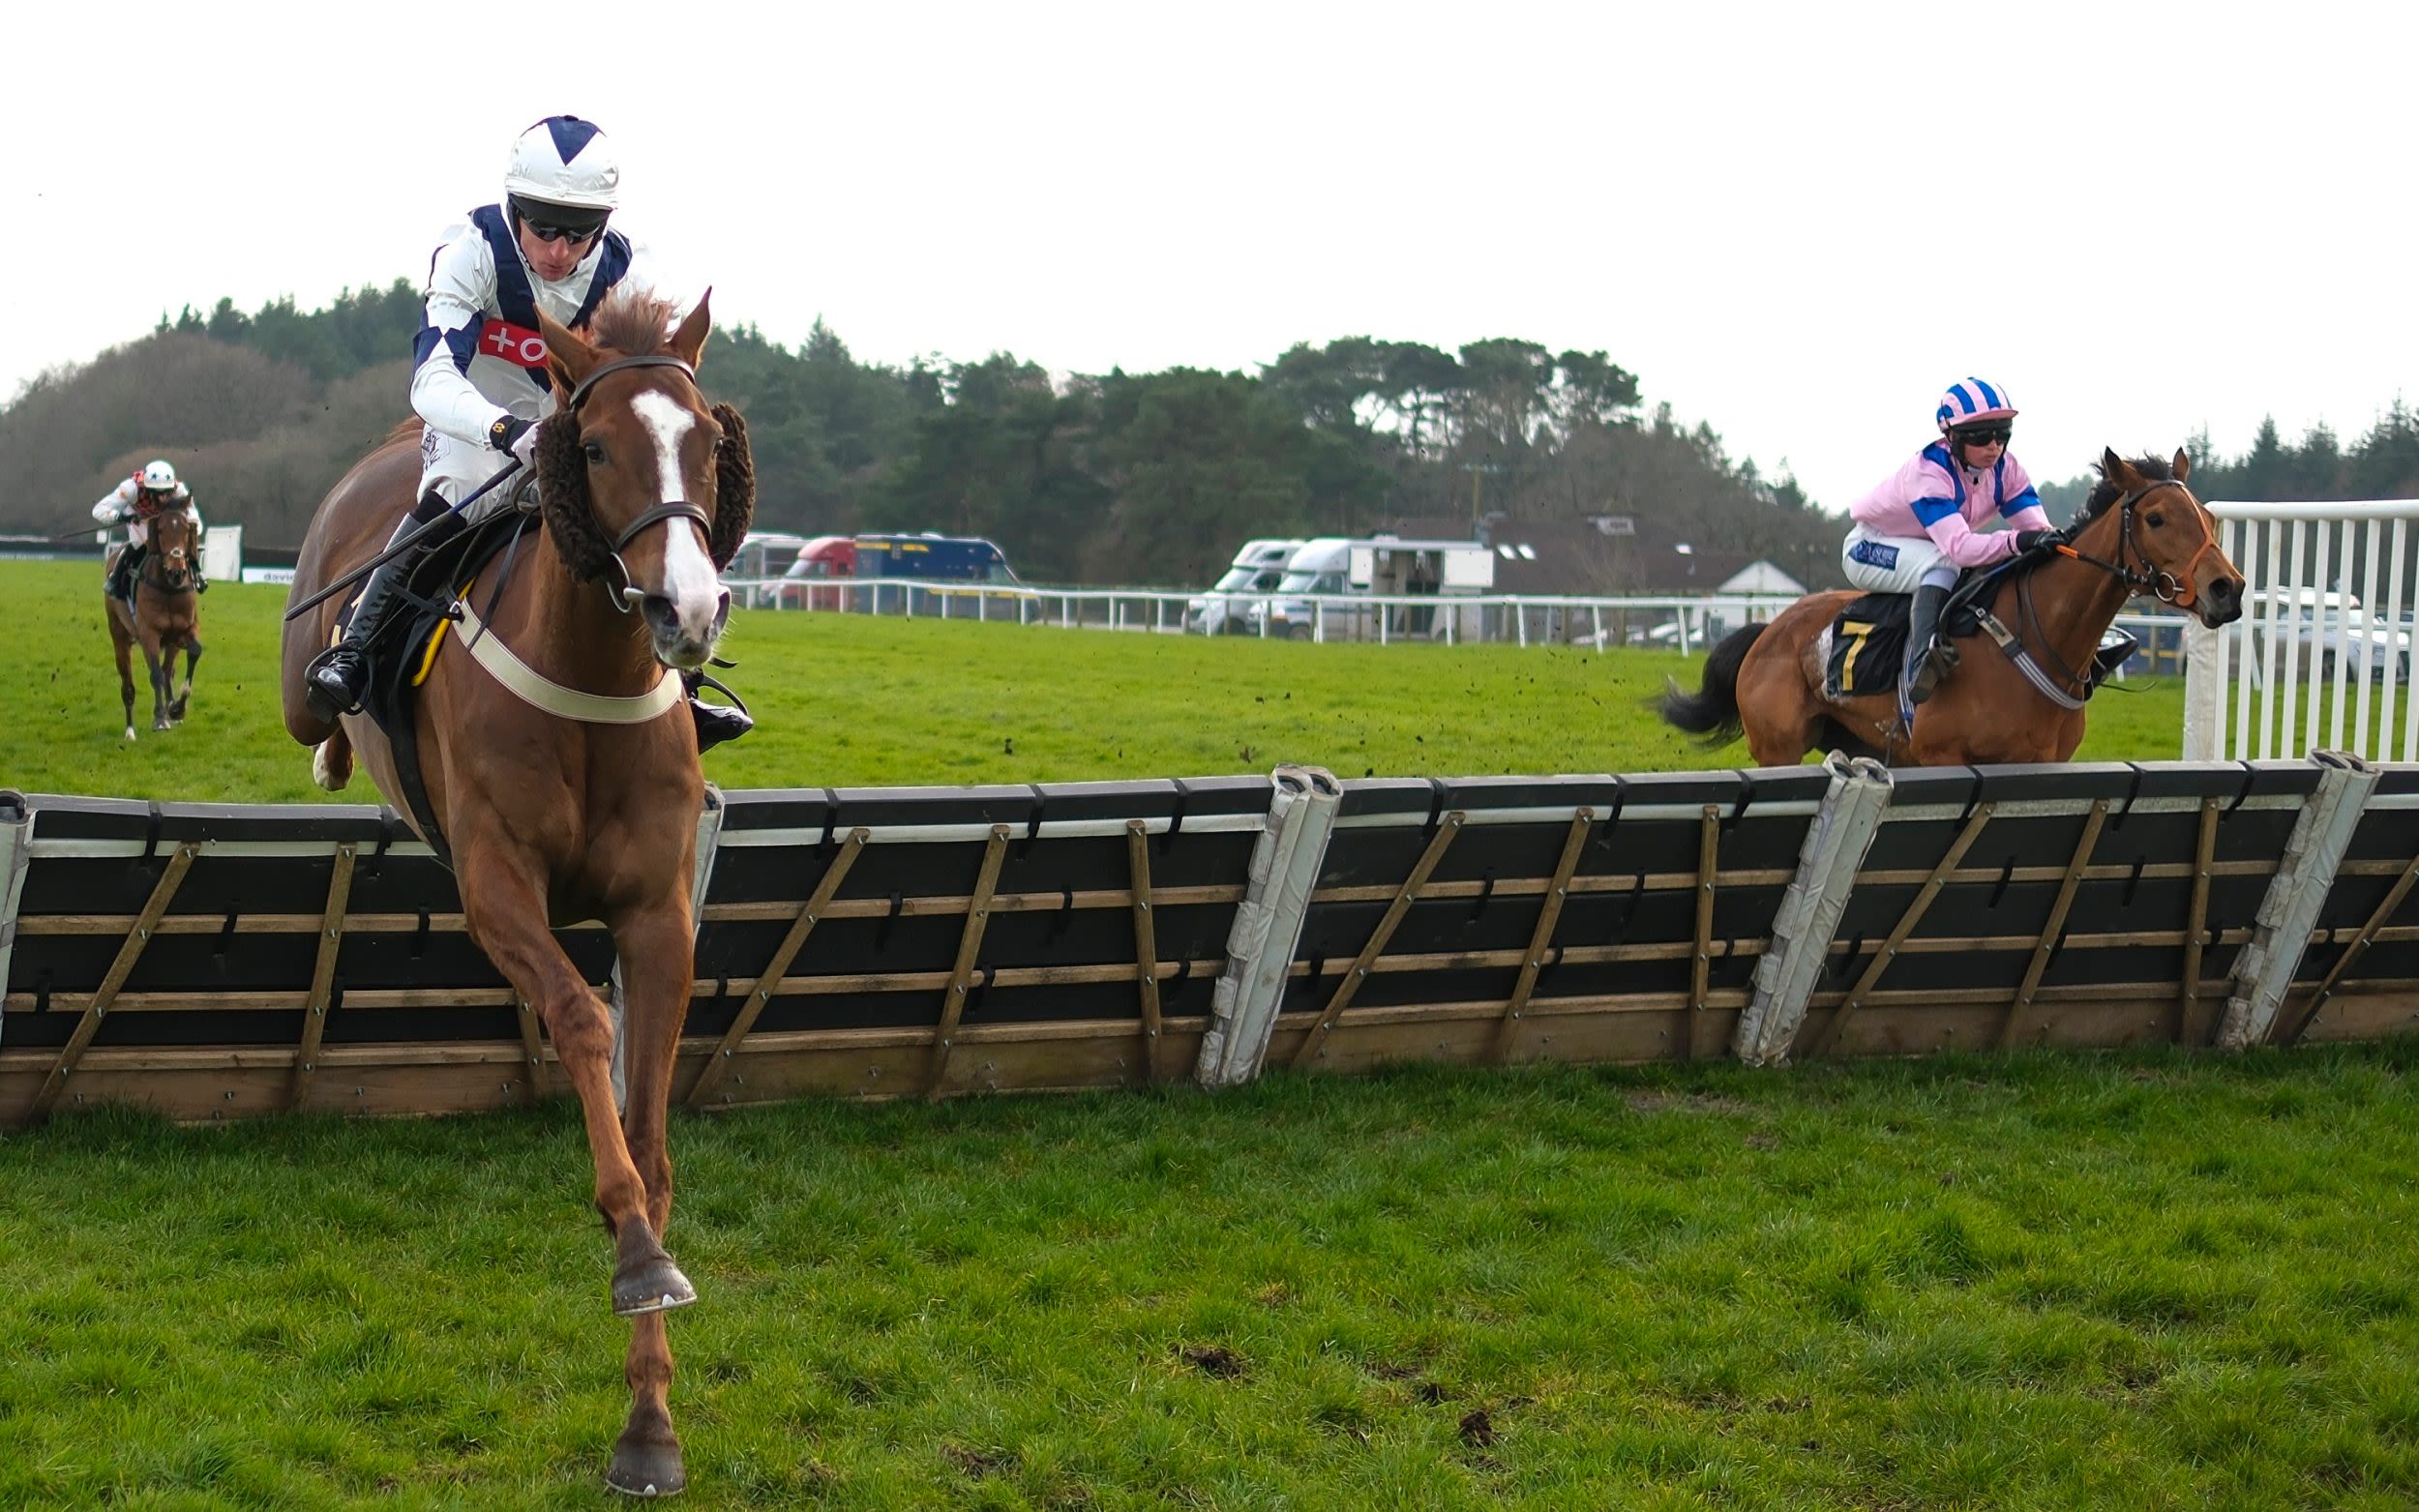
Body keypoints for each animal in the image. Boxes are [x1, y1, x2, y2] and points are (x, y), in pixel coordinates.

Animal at [277, 288, 745, 1490]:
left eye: (706, 443)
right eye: (595, 446)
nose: (687, 608)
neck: (590, 683)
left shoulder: (659, 917)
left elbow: (649, 1133)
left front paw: (649, 1423)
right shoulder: (495, 890)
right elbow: (580, 1023)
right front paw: (634, 1254)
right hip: (304, 667)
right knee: (310, 714)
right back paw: (335, 738)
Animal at [1664, 442, 2245, 759]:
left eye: (2207, 517)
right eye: (2156, 518)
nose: (2228, 589)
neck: (2036, 639)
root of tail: (1768, 630)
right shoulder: (1941, 755)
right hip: (1778, 747)